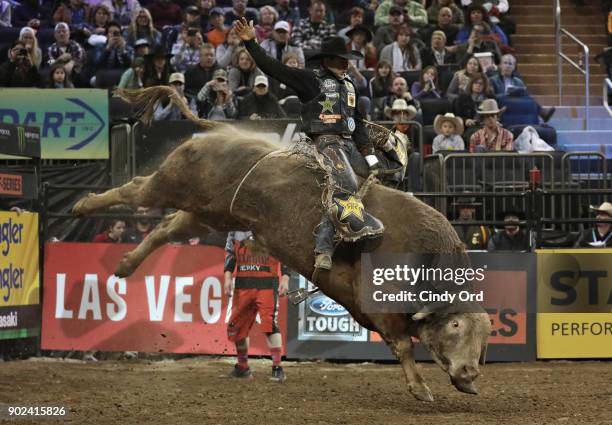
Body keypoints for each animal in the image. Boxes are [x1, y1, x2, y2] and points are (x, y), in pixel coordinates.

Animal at [73, 88, 492, 400]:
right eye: (455, 325)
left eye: (485, 335)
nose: (471, 372)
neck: (425, 257)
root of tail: (220, 131)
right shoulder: (380, 303)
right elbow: (402, 344)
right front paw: (420, 388)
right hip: (174, 183)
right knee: (135, 190)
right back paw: (83, 205)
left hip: (210, 213)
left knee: (164, 229)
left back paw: (125, 264)